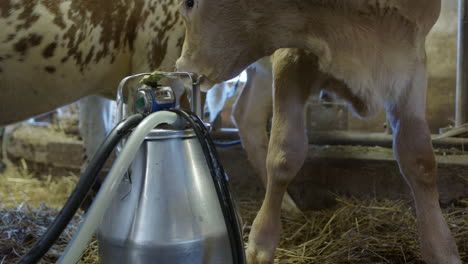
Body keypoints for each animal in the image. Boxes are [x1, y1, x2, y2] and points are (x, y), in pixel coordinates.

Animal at [177, 0, 462, 264]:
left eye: (190, 3)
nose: (183, 65)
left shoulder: (408, 62)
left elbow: (419, 159)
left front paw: (442, 250)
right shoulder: (290, 55)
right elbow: (284, 154)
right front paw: (260, 246)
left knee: (247, 114)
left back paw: (290, 207)